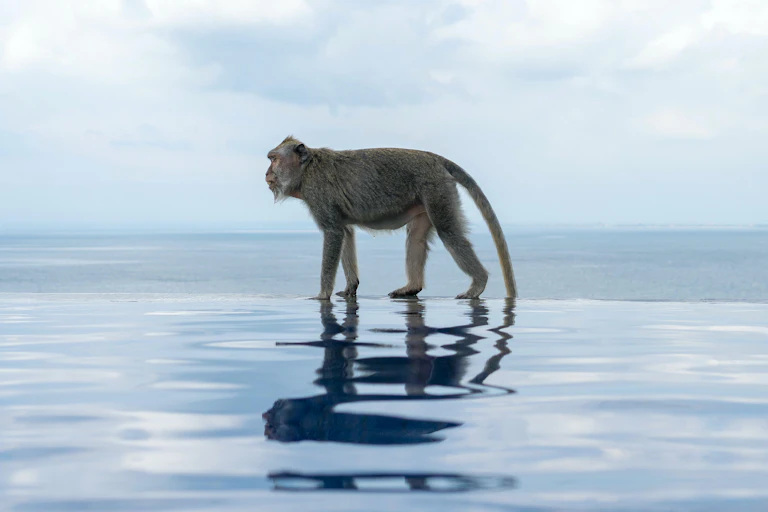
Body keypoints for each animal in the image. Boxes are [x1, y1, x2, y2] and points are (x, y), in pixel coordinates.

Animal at [265, 136, 517, 301]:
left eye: (273, 159)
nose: (266, 174)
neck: (306, 170)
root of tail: (435, 159)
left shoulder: (319, 196)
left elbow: (333, 233)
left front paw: (322, 295)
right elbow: (345, 233)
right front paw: (350, 287)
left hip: (436, 190)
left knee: (449, 233)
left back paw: (478, 284)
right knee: (416, 238)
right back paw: (411, 287)